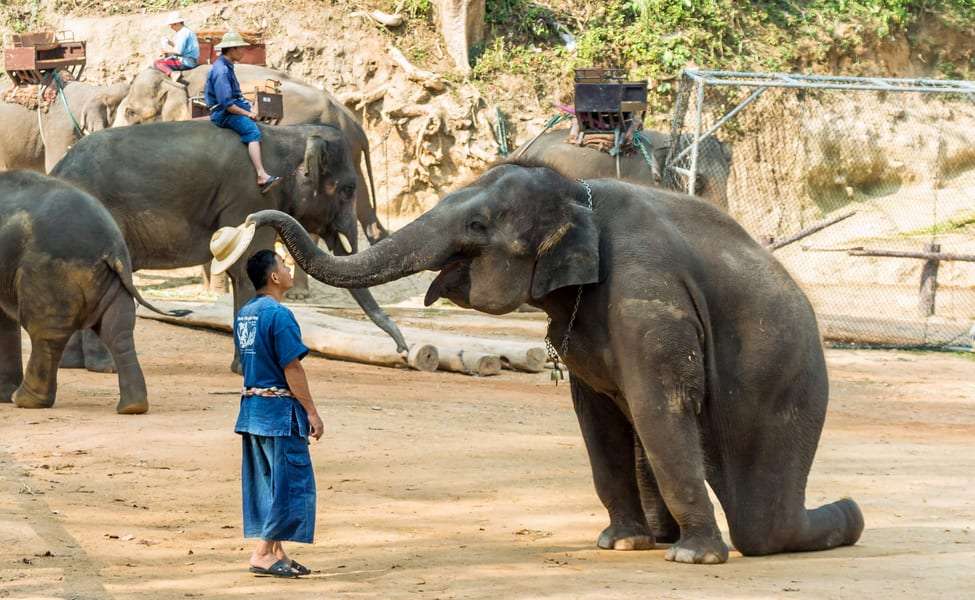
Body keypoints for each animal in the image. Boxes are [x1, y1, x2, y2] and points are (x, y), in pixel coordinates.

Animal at [0, 171, 188, 413]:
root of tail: (112, 247)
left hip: (49, 274)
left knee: (46, 333)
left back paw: (25, 401)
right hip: (112, 279)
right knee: (118, 329)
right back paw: (132, 407)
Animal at [50, 121, 408, 373]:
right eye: (348, 189)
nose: (403, 352)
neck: (287, 134)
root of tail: (59, 167)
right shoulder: (251, 196)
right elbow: (248, 267)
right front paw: (243, 370)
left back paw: (74, 365)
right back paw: (103, 367)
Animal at [248, 159, 865, 564]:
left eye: (477, 226)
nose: (256, 218)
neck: (578, 196)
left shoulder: (646, 293)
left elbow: (658, 405)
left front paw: (695, 559)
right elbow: (597, 417)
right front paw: (621, 544)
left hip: (784, 380)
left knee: (763, 523)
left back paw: (843, 517)